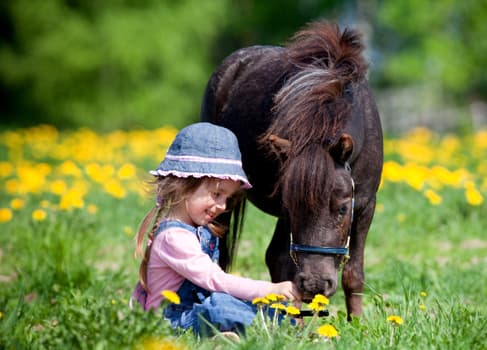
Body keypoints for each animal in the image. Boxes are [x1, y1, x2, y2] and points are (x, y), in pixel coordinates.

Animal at [200, 20, 384, 318]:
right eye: (294, 206)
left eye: (342, 209)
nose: (316, 283)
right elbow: (284, 264)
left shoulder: (366, 205)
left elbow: (354, 274)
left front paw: (356, 322)